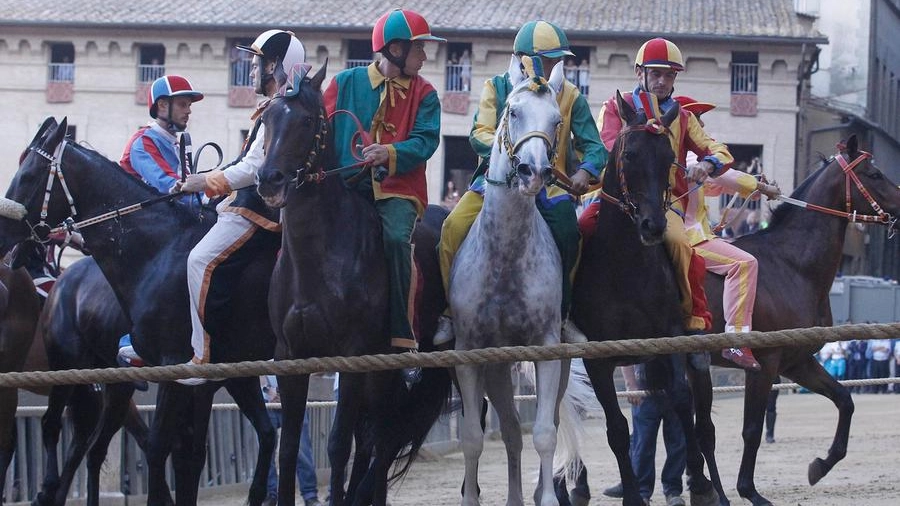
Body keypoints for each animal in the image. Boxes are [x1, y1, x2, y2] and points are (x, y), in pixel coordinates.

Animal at [0, 119, 278, 506]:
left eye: (28, 175)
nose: (1, 232)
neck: (159, 249)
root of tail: (63, 283)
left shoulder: (199, 374)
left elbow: (187, 450)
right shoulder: (200, 375)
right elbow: (177, 451)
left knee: (85, 441)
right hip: (73, 368)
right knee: (63, 432)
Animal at [253, 61, 450, 504]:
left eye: (307, 120)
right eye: (267, 119)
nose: (270, 179)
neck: (319, 258)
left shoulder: (353, 354)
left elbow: (338, 443)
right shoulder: (291, 355)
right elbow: (289, 447)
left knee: (384, 437)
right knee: (374, 438)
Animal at [568, 92, 724, 506]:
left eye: (668, 157)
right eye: (631, 155)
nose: (653, 225)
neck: (624, 267)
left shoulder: (670, 337)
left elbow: (682, 403)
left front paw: (699, 482)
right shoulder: (597, 359)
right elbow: (617, 428)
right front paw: (631, 495)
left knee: (704, 425)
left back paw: (713, 487)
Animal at [704, 134, 900, 506]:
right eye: (874, 174)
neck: (791, 265)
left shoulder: (796, 362)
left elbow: (845, 400)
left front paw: (821, 464)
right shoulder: (764, 364)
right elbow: (752, 429)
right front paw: (750, 491)